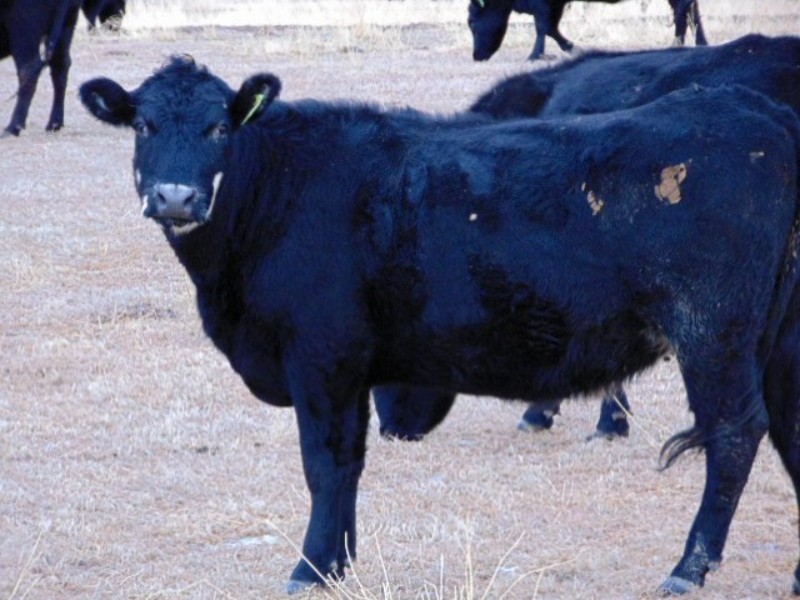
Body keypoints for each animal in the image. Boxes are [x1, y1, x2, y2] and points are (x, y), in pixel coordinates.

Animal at [468, 0, 707, 61]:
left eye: (471, 22)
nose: (476, 56)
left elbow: (543, 27)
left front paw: (535, 55)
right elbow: (551, 28)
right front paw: (571, 47)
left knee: (683, 11)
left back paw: (677, 44)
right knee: (690, 12)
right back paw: (699, 42)